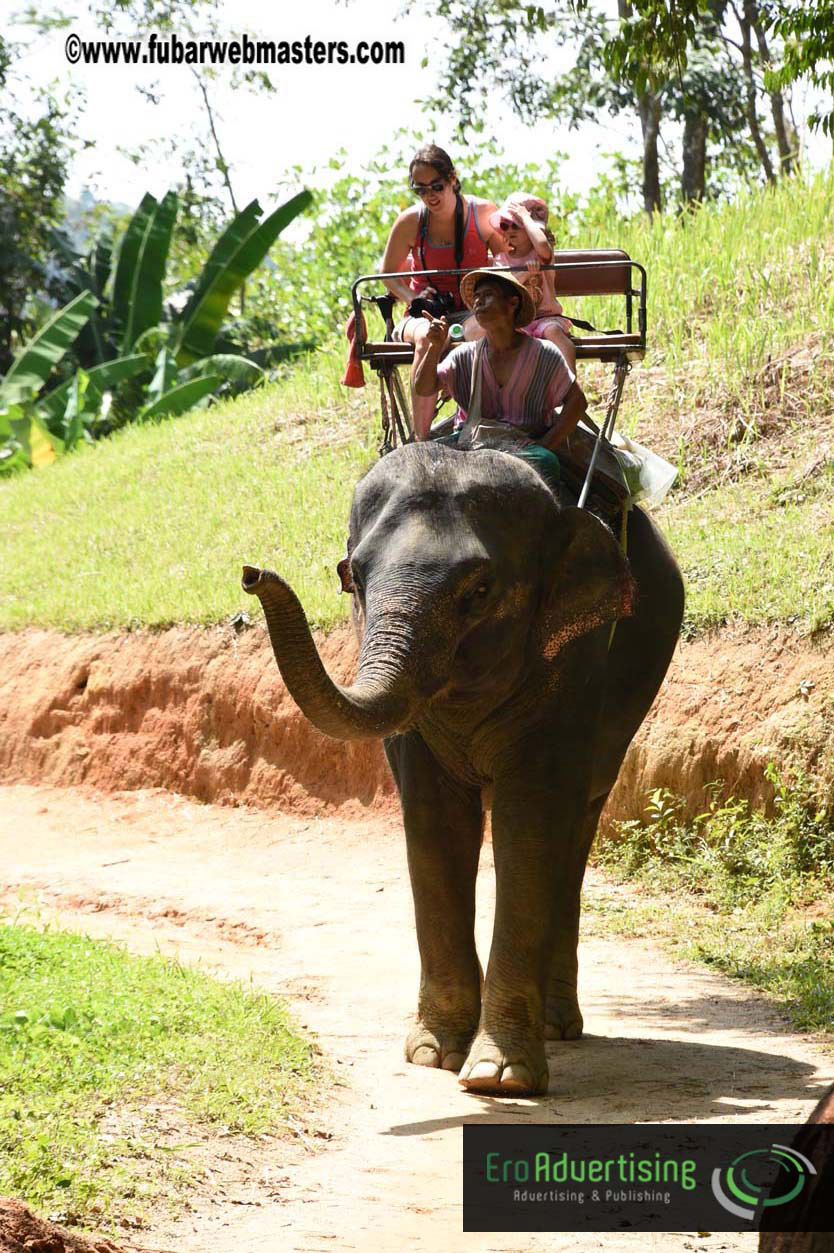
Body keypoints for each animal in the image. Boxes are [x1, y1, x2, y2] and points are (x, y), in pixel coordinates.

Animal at [242, 441, 684, 1097]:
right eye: (354, 576)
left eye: (478, 591)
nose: (252, 575)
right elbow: (434, 822)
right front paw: (433, 1054)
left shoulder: (574, 665)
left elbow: (529, 826)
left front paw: (498, 1078)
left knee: (577, 828)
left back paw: (556, 1026)